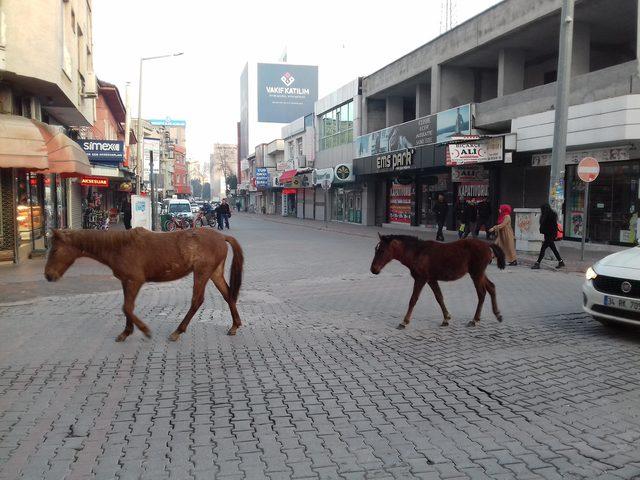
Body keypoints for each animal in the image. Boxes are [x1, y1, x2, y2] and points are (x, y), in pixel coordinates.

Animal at [42, 228, 242, 342]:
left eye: (56, 250)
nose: (48, 275)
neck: (120, 246)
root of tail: (222, 236)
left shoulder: (135, 281)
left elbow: (126, 308)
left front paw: (145, 331)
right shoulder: (126, 282)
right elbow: (127, 307)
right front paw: (126, 332)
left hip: (202, 272)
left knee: (197, 301)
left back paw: (177, 331)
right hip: (214, 272)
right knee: (228, 295)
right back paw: (234, 326)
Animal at [370, 234, 504, 328]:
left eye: (381, 250)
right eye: (375, 249)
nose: (373, 269)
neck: (417, 252)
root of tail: (487, 245)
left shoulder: (421, 279)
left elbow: (413, 299)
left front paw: (404, 322)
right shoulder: (431, 279)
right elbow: (439, 297)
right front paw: (446, 318)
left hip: (476, 274)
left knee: (482, 293)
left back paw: (475, 320)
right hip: (479, 274)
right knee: (491, 287)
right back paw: (497, 314)